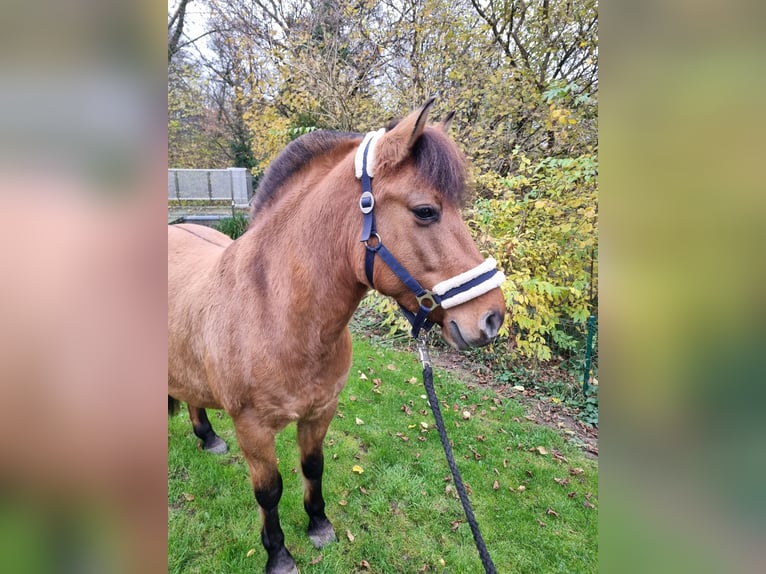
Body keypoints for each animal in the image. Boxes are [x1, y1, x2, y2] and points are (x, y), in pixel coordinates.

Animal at [168, 101, 508, 572]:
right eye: (426, 211)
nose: (492, 317)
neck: (277, 315)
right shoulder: (253, 429)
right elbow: (269, 491)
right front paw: (278, 553)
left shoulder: (320, 412)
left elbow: (313, 467)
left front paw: (319, 526)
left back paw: (208, 437)